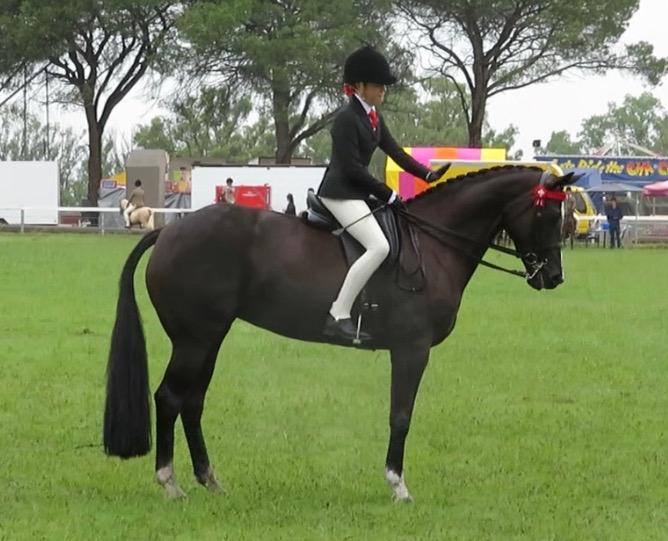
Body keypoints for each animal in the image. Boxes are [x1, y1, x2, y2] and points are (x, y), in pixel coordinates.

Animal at [103, 166, 578, 502]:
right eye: (547, 212)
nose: (553, 276)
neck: (432, 246)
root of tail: (170, 230)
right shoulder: (412, 349)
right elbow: (401, 414)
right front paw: (398, 486)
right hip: (195, 340)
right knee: (170, 397)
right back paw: (170, 483)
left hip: (209, 338)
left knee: (192, 401)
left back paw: (210, 480)